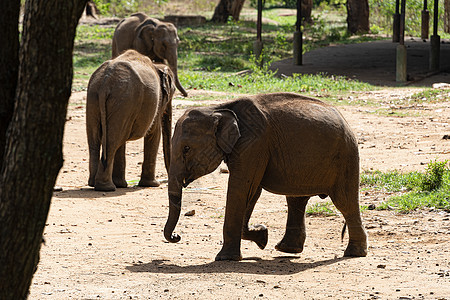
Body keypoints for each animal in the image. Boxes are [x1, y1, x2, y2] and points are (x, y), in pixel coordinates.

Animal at [86, 49, 176, 190]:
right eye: (172, 93)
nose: (166, 181)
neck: (157, 65)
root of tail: (105, 82)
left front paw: (122, 185)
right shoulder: (157, 101)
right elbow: (154, 132)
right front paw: (152, 185)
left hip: (95, 98)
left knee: (97, 140)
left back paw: (94, 184)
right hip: (123, 100)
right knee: (112, 142)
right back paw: (107, 187)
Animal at [163, 92, 368, 262]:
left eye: (186, 149)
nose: (176, 236)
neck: (219, 109)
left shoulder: (253, 145)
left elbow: (241, 189)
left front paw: (225, 258)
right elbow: (251, 192)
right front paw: (262, 236)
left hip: (346, 157)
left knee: (345, 202)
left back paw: (354, 253)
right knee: (296, 201)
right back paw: (286, 249)